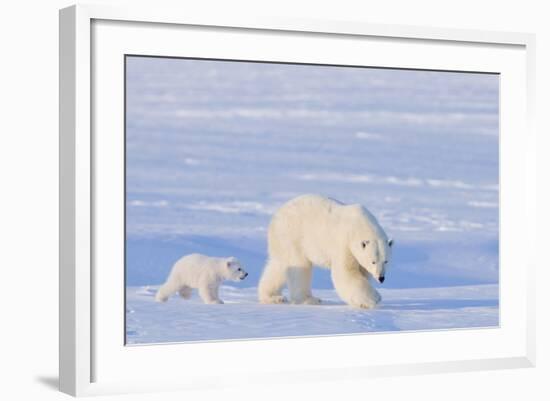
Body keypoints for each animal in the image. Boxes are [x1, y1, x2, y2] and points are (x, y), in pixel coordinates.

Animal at [258, 195, 392, 308]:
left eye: (386, 261)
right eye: (373, 261)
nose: (381, 278)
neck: (359, 226)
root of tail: (276, 216)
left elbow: (361, 273)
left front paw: (361, 302)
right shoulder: (343, 243)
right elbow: (346, 273)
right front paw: (375, 298)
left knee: (279, 266)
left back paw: (272, 297)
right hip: (292, 235)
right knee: (299, 266)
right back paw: (310, 299)